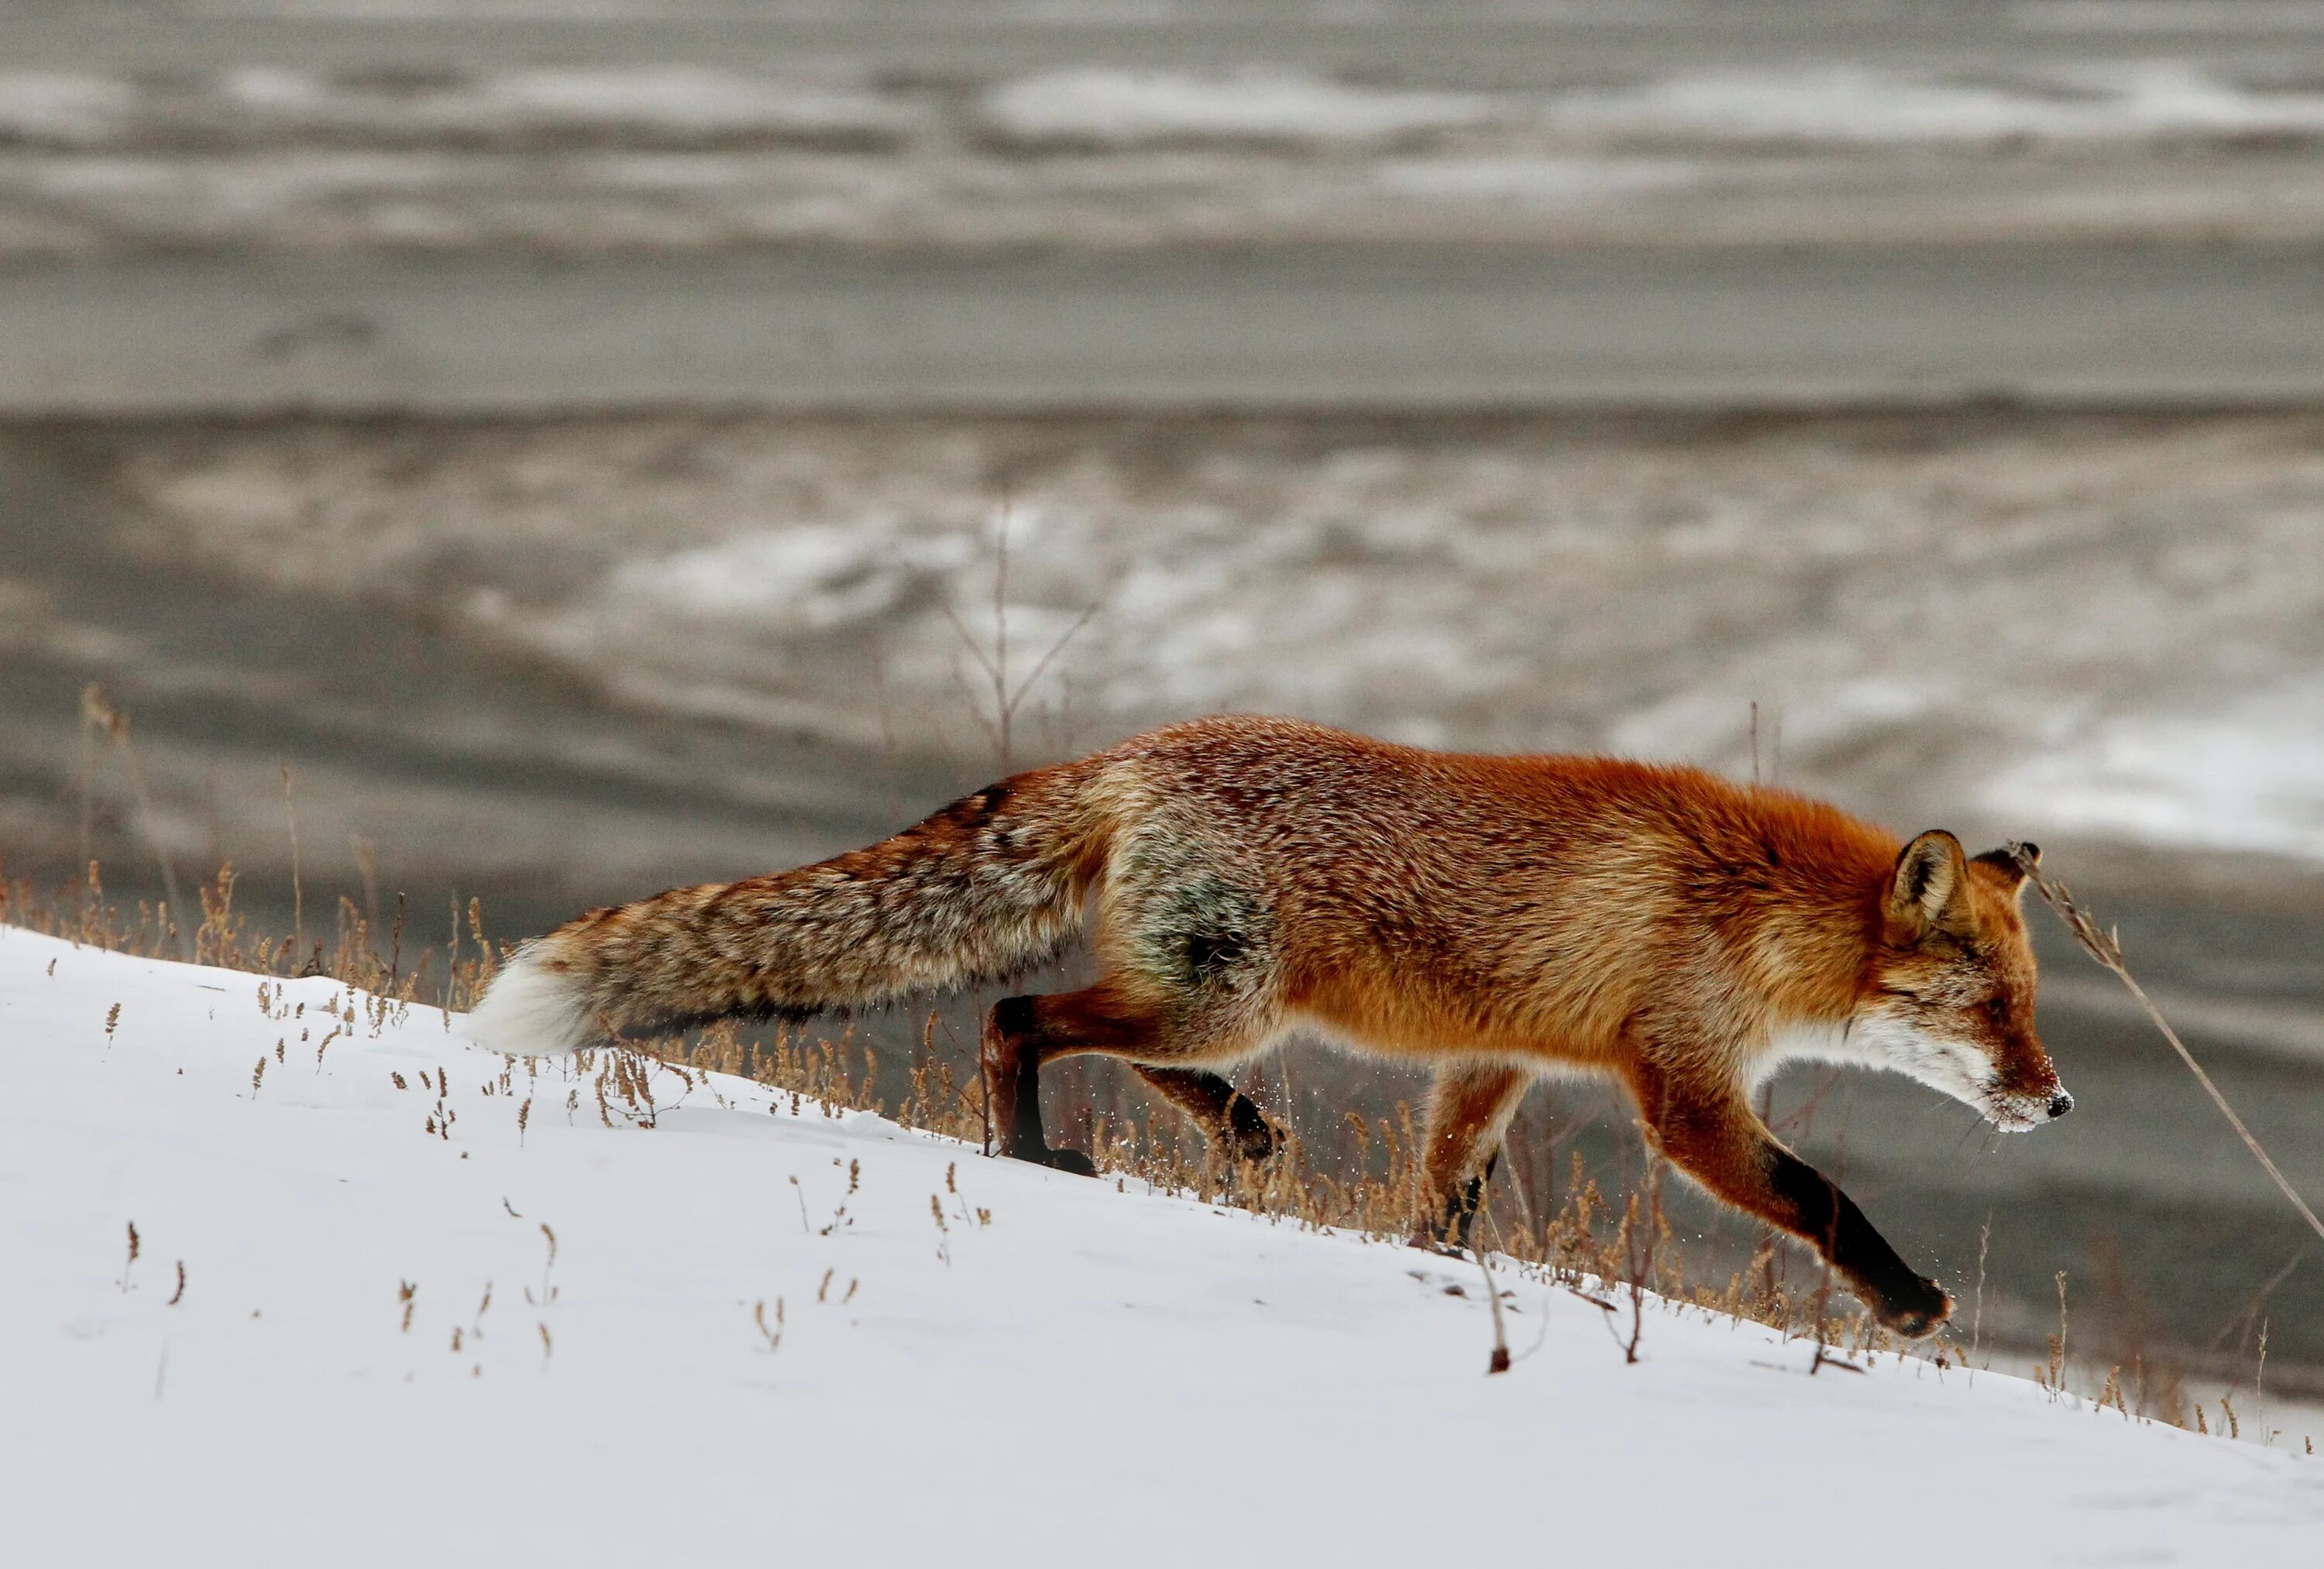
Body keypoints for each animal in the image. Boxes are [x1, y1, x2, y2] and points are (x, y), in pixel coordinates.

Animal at [467, 716, 2073, 1338]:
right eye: (1995, 1009)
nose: (2058, 1106)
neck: (1748, 910)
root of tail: (1138, 751)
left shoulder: (1496, 1059)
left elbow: (1448, 1196)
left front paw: (1435, 1273)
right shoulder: (1681, 1090)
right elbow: (1823, 1196)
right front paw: (1908, 1304)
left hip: (1216, 1004)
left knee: (1125, 1050)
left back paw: (1233, 1133)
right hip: (1221, 994)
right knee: (1017, 1014)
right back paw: (1029, 1154)